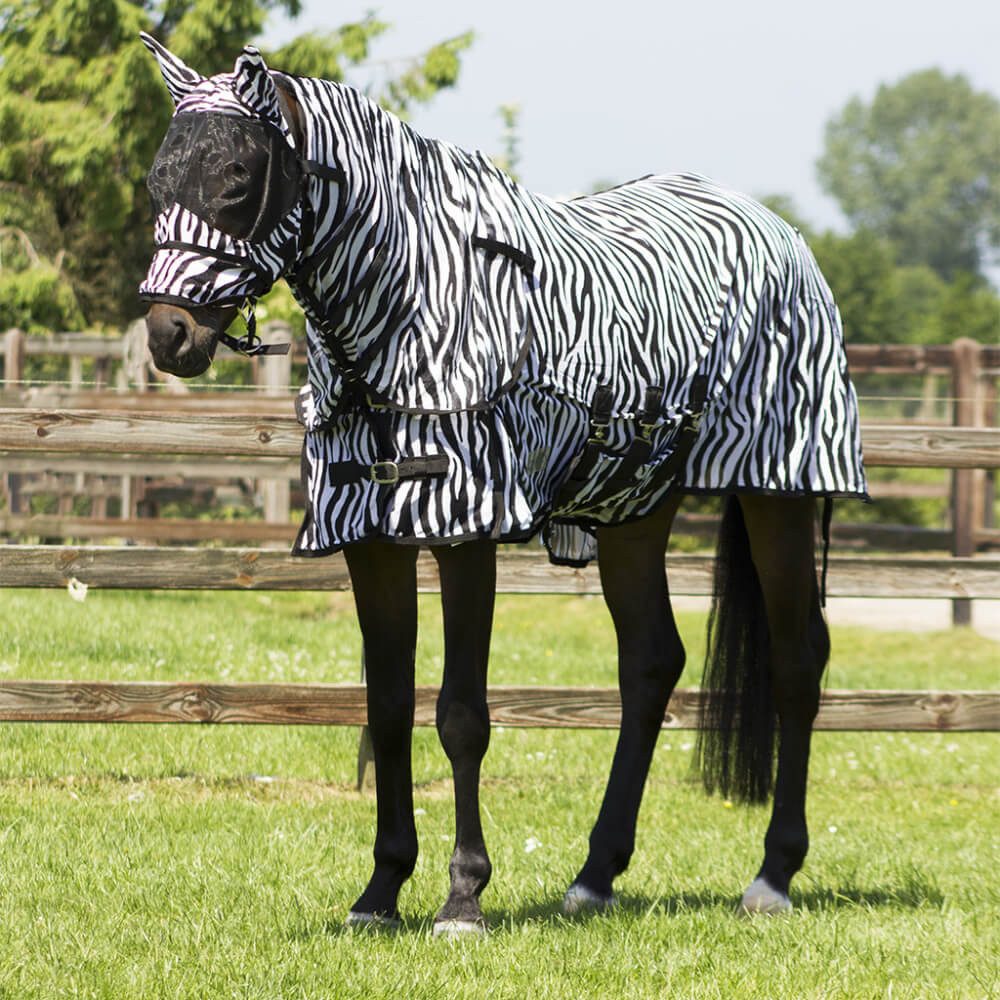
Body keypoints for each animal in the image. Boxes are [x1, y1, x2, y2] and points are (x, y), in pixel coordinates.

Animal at [137, 35, 867, 934]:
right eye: (157, 181)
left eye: (238, 176)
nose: (168, 334)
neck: (410, 315)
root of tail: (780, 233)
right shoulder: (371, 536)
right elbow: (386, 708)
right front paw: (380, 891)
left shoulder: (465, 529)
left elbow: (461, 715)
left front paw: (462, 897)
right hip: (633, 508)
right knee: (651, 663)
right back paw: (595, 876)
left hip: (779, 493)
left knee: (799, 660)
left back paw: (773, 876)